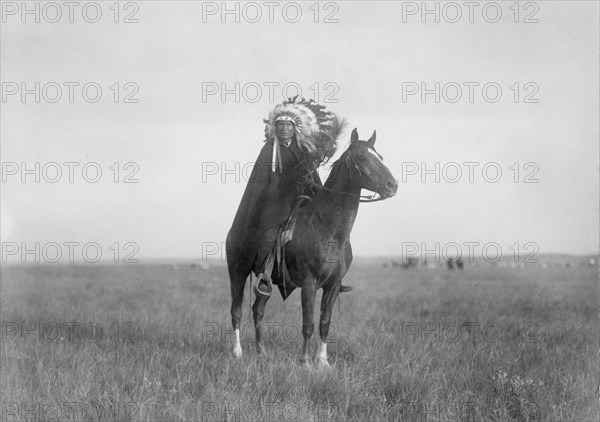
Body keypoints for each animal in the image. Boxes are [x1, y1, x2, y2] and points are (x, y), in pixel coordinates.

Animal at [225, 129, 398, 366]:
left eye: (379, 156)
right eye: (362, 157)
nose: (392, 185)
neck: (329, 231)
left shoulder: (333, 286)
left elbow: (324, 322)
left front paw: (323, 361)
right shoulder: (309, 284)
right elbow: (308, 323)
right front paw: (305, 362)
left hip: (264, 281)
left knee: (257, 310)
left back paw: (262, 352)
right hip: (238, 272)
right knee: (236, 311)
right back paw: (237, 352)